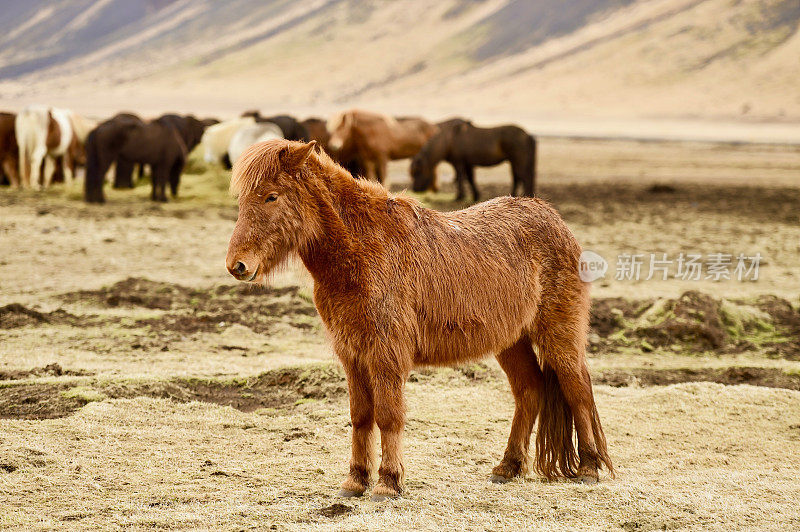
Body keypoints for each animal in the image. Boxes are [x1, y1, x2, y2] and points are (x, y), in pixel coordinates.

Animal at [225, 139, 612, 500]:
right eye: (242, 200)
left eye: (271, 196)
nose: (237, 265)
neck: (361, 250)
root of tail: (554, 219)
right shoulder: (352, 355)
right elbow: (360, 416)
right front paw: (355, 481)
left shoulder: (385, 355)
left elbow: (388, 415)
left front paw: (387, 483)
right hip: (511, 341)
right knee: (529, 391)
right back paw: (508, 467)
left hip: (558, 336)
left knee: (577, 389)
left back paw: (589, 468)